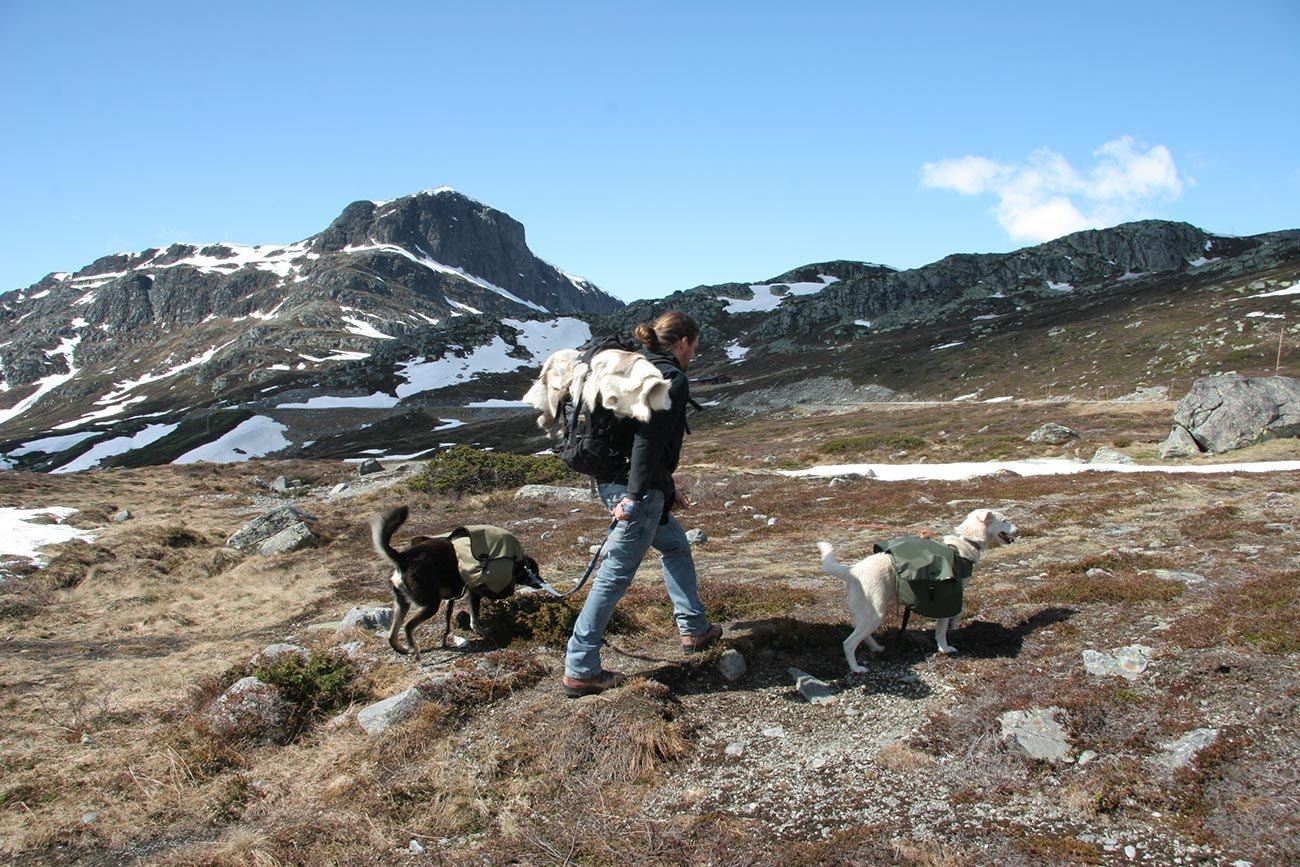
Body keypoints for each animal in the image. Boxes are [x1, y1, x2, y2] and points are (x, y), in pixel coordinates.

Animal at [816, 512, 1019, 675]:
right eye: (1004, 520)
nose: (1018, 530)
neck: (966, 542)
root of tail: (852, 570)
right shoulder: (949, 596)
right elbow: (944, 628)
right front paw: (945, 647)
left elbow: (955, 616)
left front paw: (953, 626)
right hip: (874, 614)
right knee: (848, 644)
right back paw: (856, 668)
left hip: (868, 613)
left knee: (862, 634)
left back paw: (877, 648)